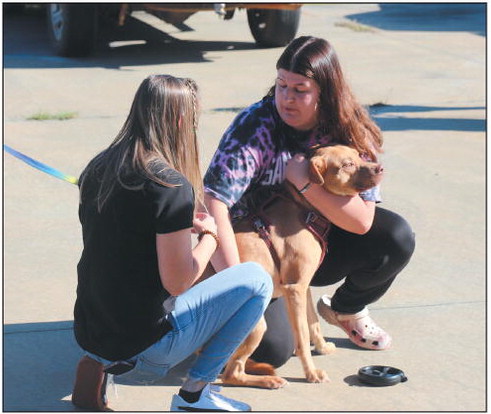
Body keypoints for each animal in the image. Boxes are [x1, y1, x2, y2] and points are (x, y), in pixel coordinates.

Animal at [219, 146, 384, 388]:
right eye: (347, 164)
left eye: (357, 155)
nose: (380, 168)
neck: (303, 207)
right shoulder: (295, 288)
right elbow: (303, 336)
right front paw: (311, 373)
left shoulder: (303, 286)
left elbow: (313, 322)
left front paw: (322, 347)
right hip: (257, 326)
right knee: (231, 373)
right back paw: (268, 380)